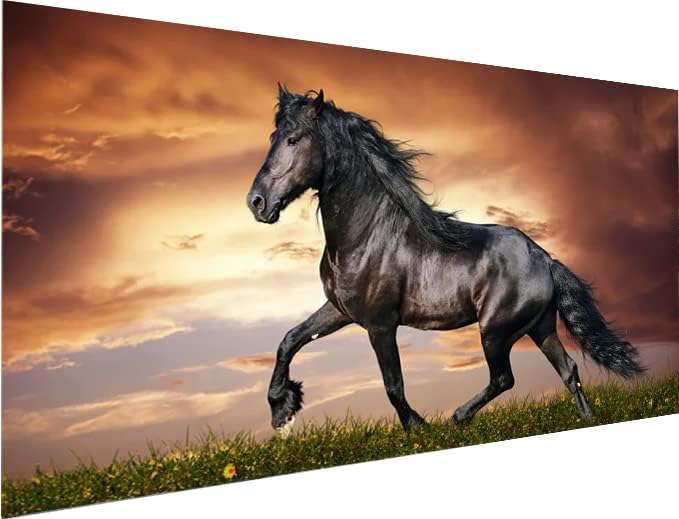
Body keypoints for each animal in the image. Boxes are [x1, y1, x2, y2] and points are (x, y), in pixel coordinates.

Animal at [246, 84, 644, 436]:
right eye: (273, 136)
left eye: (294, 138)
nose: (256, 202)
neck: (367, 235)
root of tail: (545, 259)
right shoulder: (340, 310)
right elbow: (289, 340)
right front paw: (282, 410)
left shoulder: (380, 324)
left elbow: (393, 385)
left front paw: (418, 429)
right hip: (540, 327)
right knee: (569, 370)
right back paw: (586, 419)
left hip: (496, 331)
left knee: (504, 378)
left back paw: (457, 417)